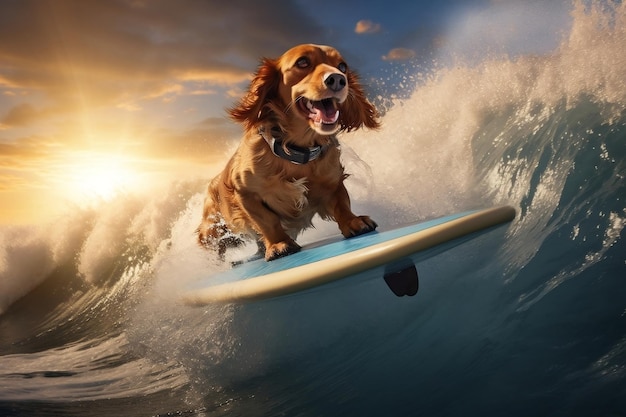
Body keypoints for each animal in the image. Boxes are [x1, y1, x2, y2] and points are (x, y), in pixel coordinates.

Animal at [197, 44, 378, 258]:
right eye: (302, 62)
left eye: (342, 66)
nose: (338, 79)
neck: (297, 153)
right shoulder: (245, 192)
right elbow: (267, 221)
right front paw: (278, 243)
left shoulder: (333, 181)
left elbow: (342, 203)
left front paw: (353, 221)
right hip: (214, 230)